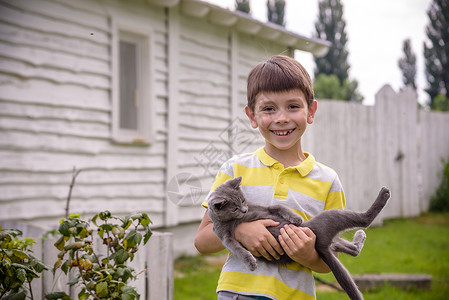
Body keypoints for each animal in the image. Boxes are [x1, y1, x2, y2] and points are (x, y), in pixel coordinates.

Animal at [208, 176, 390, 300]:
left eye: (243, 200)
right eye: (234, 208)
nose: (244, 210)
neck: (235, 219)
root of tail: (320, 245)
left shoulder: (265, 208)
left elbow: (279, 206)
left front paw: (295, 218)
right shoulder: (224, 236)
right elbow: (237, 248)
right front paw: (251, 262)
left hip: (328, 232)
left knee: (353, 245)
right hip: (328, 220)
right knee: (364, 222)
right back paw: (383, 196)